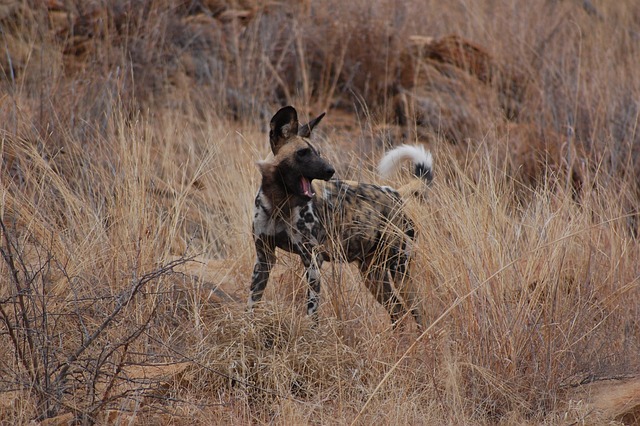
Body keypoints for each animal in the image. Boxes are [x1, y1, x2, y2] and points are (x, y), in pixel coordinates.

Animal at [248, 105, 432, 326]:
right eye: (302, 153)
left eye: (318, 153)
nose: (330, 170)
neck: (279, 203)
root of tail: (395, 193)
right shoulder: (264, 259)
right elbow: (252, 303)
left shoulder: (312, 260)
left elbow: (312, 313)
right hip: (372, 275)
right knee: (398, 311)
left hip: (399, 270)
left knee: (418, 312)